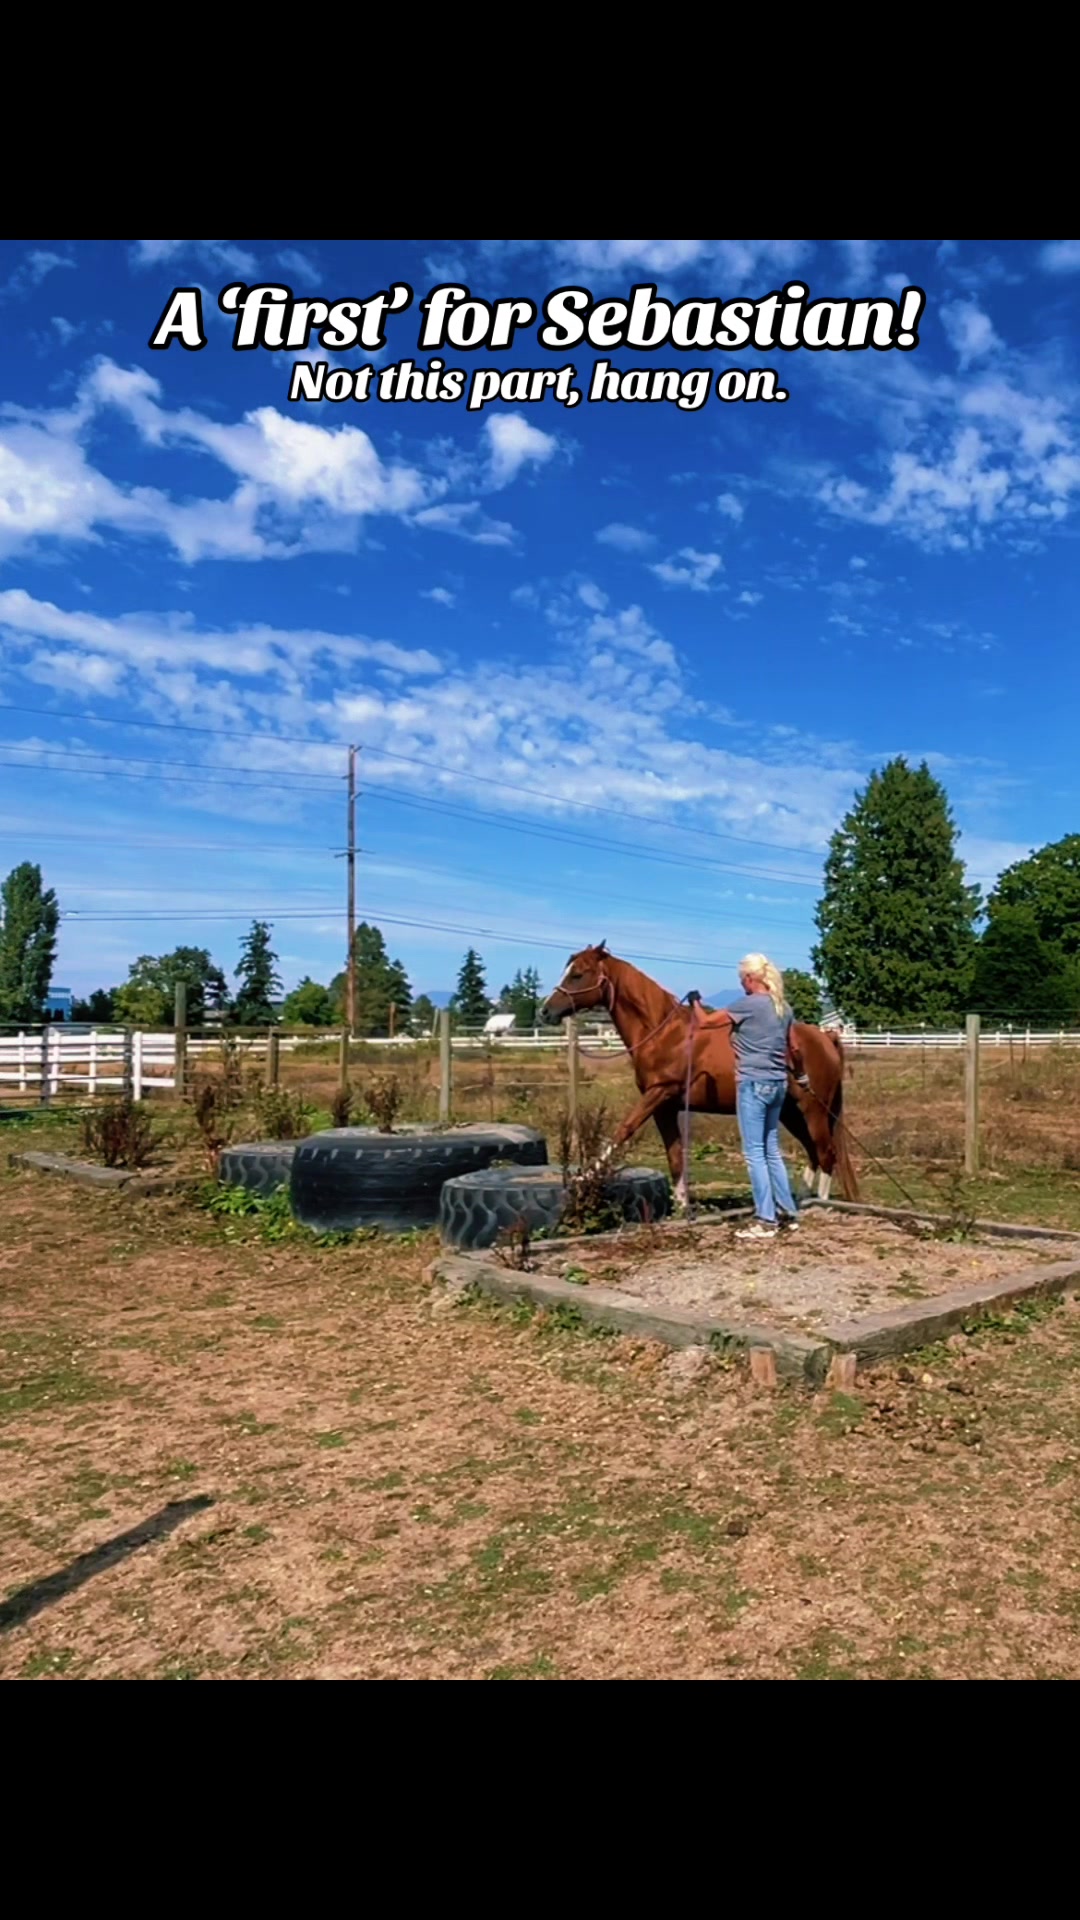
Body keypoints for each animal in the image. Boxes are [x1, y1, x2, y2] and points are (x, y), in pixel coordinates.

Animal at [539, 941, 858, 1208]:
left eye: (578, 974)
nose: (545, 1011)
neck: (664, 1033)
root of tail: (826, 1037)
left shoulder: (659, 1093)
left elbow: (624, 1129)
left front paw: (582, 1180)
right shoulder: (665, 1106)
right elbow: (675, 1154)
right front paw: (682, 1205)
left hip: (813, 1109)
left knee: (826, 1153)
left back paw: (821, 1203)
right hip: (790, 1112)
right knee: (814, 1152)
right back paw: (802, 1199)